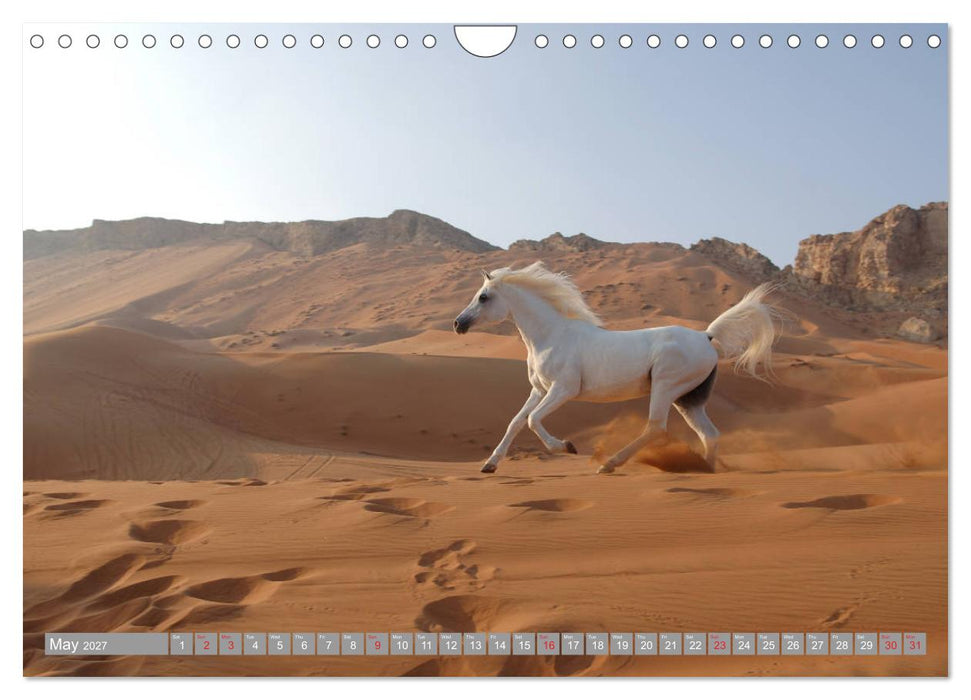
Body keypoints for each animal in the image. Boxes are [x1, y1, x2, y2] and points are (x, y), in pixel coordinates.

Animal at [452, 261, 780, 474]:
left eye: (483, 297)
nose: (458, 324)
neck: (551, 335)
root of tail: (706, 336)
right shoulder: (539, 390)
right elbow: (516, 422)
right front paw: (489, 465)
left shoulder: (563, 389)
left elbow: (533, 420)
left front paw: (567, 447)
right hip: (688, 400)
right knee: (709, 434)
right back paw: (704, 469)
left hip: (665, 387)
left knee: (656, 428)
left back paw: (609, 464)